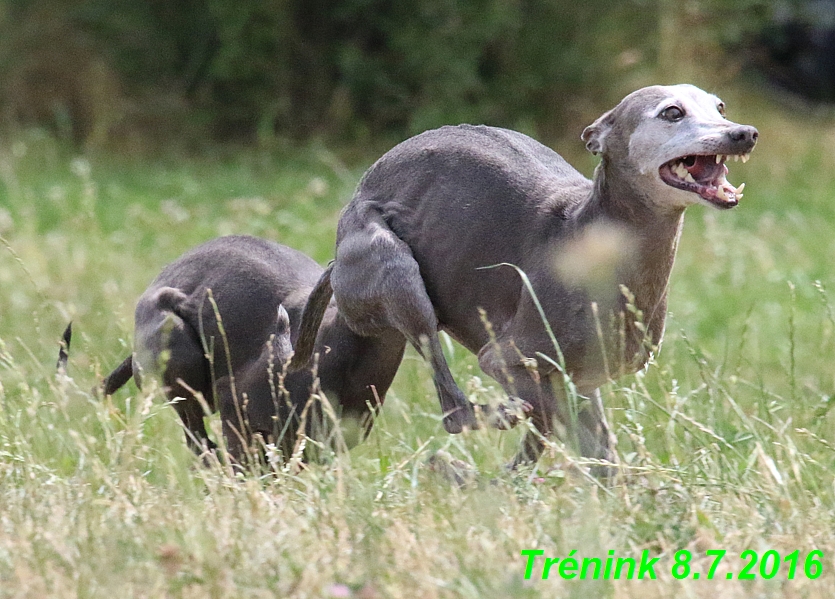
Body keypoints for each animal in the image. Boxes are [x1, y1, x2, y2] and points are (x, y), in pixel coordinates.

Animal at [292, 84, 756, 472]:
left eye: (719, 107)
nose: (744, 133)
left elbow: (599, 456)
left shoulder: (583, 381)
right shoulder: (506, 358)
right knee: (455, 411)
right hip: (394, 269)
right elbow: (544, 419)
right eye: (672, 112)